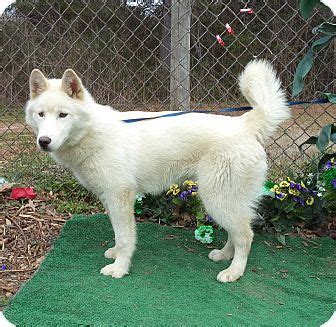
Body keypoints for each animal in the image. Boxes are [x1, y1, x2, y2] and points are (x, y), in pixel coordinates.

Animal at [25, 60, 290, 284]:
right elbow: (118, 234)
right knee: (237, 234)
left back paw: (234, 272)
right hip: (225, 201)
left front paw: (120, 268)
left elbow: (125, 238)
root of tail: (244, 124)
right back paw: (224, 256)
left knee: (245, 236)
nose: (44, 141)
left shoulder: (120, 197)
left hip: (218, 199)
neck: (92, 132)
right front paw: (116, 254)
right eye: (41, 114)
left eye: (63, 115)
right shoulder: (109, 199)